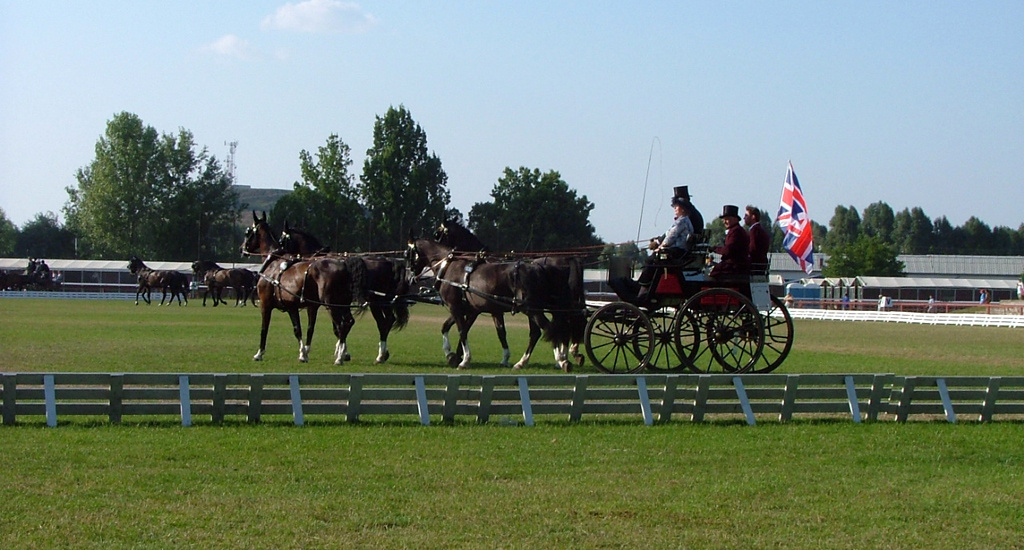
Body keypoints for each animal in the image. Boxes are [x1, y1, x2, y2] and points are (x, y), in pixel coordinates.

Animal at [239, 212, 368, 362]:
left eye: (247, 232)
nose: (241, 249)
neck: (274, 263)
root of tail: (344, 265)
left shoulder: (265, 304)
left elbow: (264, 328)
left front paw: (259, 353)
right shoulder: (296, 307)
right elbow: (301, 329)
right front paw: (303, 353)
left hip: (331, 305)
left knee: (341, 325)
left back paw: (340, 357)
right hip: (343, 304)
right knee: (348, 322)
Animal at [280, 221, 411, 362]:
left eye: (282, 240)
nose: (280, 256)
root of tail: (389, 261)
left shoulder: (322, 304)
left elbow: (326, 327)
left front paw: (336, 352)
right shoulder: (339, 303)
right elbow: (341, 326)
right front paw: (342, 351)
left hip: (376, 301)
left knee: (382, 322)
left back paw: (380, 355)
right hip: (383, 301)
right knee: (387, 321)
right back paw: (383, 353)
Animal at [403, 235, 577, 368]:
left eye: (407, 254)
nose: (409, 278)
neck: (449, 267)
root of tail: (540, 267)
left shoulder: (456, 307)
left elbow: (461, 330)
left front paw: (464, 359)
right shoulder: (471, 309)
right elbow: (450, 327)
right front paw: (451, 354)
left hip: (531, 309)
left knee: (548, 329)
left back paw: (561, 360)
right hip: (533, 309)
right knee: (539, 332)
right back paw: (524, 362)